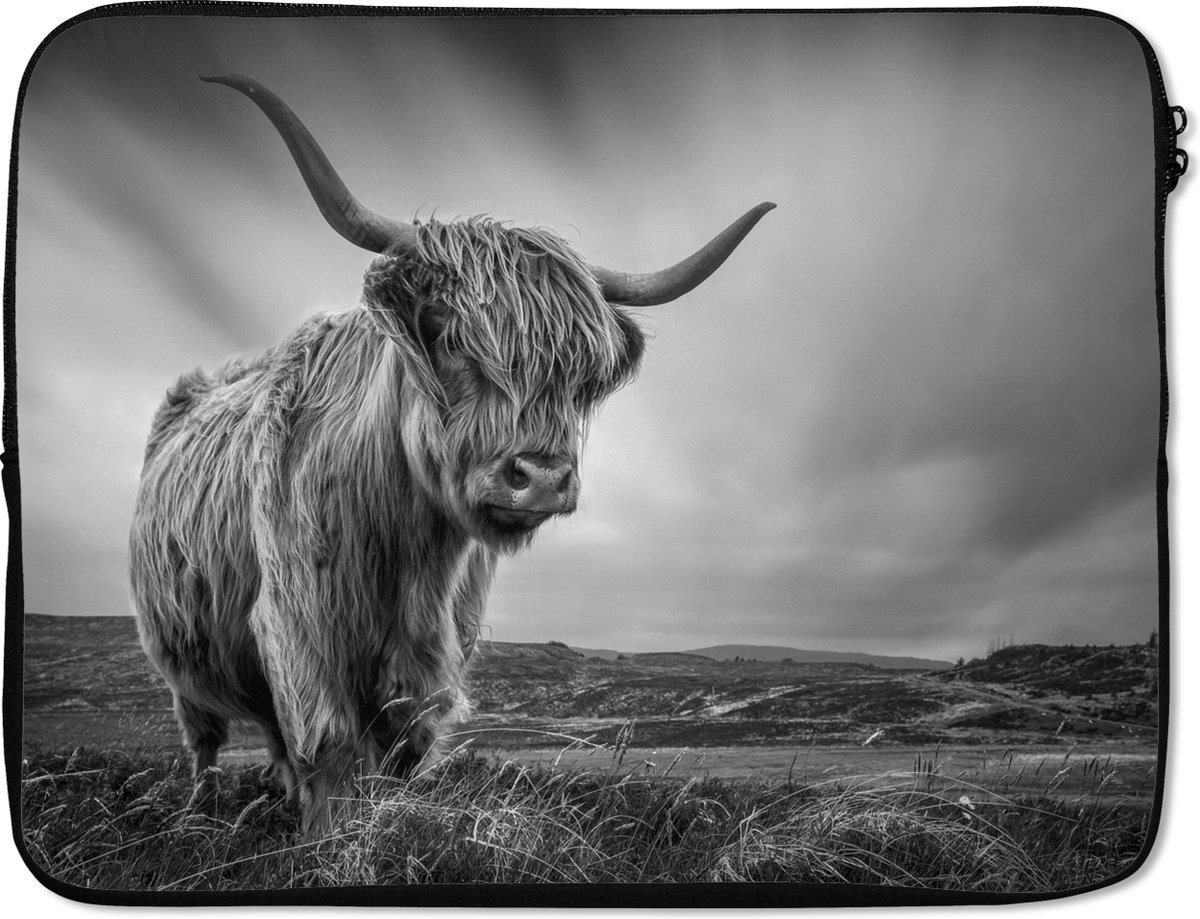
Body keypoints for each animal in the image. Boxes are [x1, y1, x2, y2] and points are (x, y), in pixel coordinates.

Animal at [128, 73, 773, 837]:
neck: (408, 550)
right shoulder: (298, 628)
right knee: (203, 737)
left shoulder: (435, 653)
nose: (541, 477)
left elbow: (400, 751)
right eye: (443, 329)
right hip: (178, 655)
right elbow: (330, 748)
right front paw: (326, 841)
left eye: (581, 372)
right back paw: (198, 815)